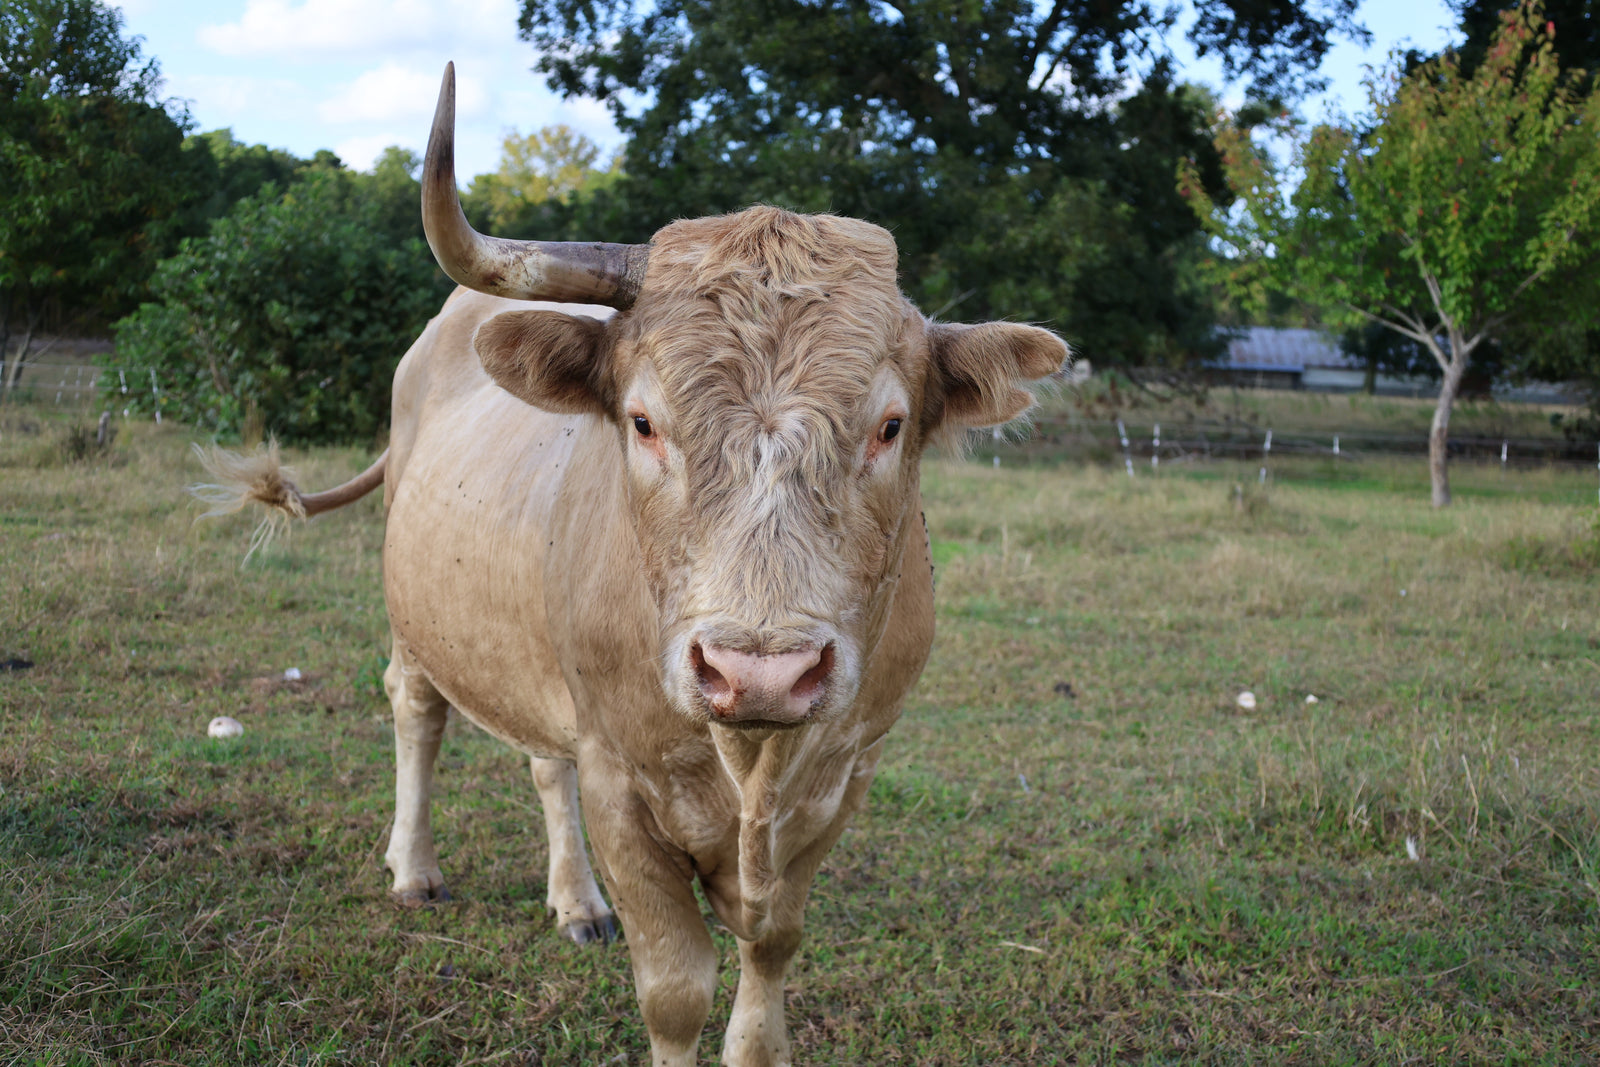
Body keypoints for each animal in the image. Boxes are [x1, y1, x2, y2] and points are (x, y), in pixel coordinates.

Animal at [202, 63, 1066, 1066]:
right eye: (646, 421)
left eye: (889, 426)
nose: (758, 671)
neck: (752, 764)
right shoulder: (622, 783)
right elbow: (676, 989)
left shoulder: (843, 778)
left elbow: (768, 962)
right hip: (417, 620)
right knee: (416, 710)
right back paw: (414, 868)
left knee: (544, 762)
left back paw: (575, 901)